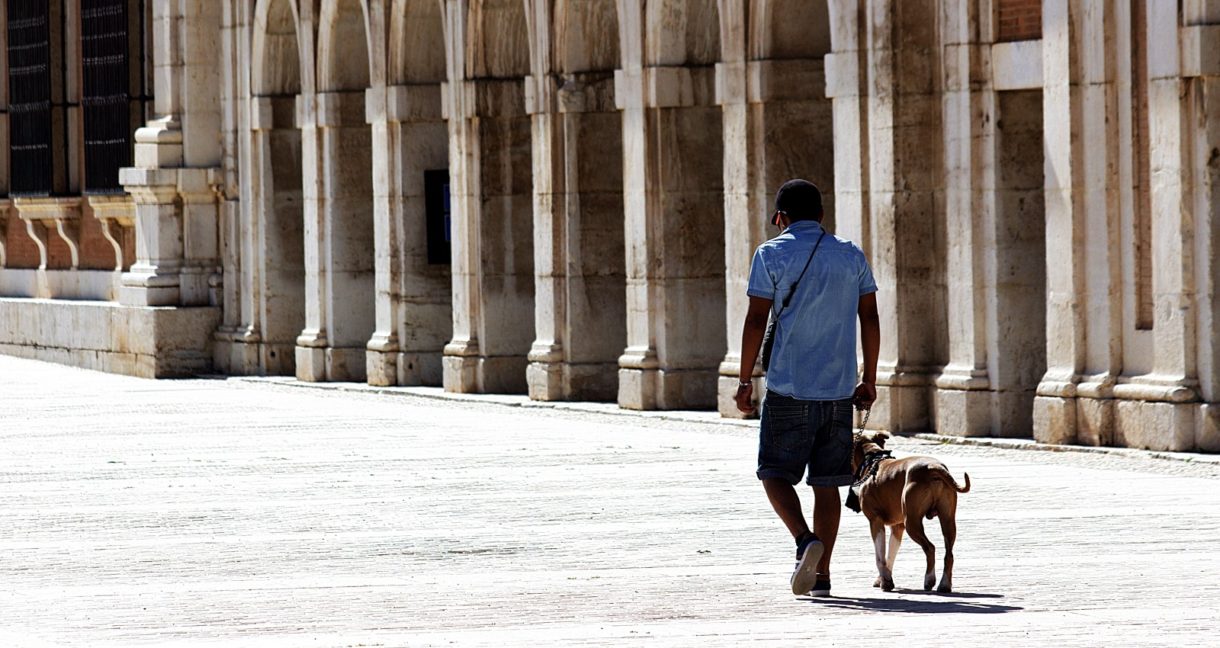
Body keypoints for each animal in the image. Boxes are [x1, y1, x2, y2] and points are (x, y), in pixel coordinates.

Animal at [854, 432, 966, 593]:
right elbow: (890, 554)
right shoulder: (897, 526)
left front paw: (886, 582)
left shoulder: (875, 521)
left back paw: (929, 580)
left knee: (930, 548)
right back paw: (944, 584)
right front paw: (883, 579)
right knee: (949, 554)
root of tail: (934, 467)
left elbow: (880, 556)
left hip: (912, 523)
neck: (873, 460)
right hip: (948, 519)